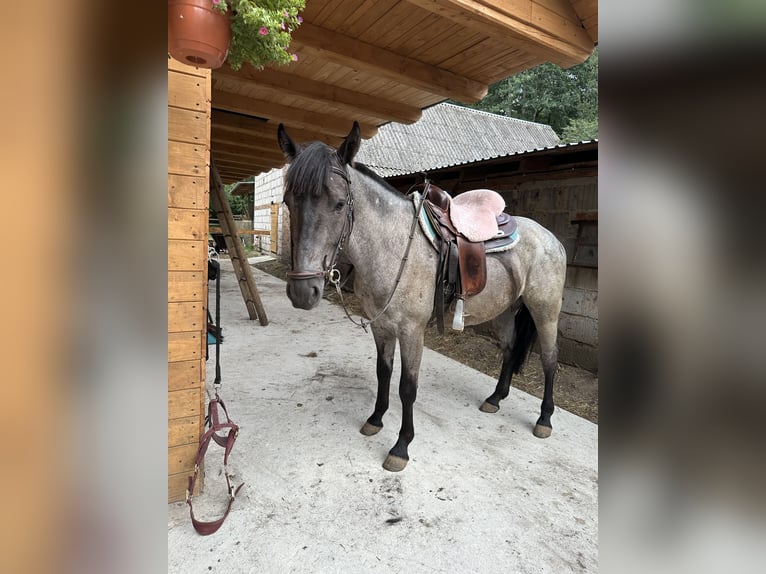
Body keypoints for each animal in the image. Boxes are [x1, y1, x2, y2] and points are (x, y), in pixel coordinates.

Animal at [280, 121, 568, 472]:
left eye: (338, 203)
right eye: (288, 202)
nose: (302, 292)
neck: (391, 247)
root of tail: (552, 238)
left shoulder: (411, 330)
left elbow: (408, 387)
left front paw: (401, 447)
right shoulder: (381, 326)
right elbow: (383, 372)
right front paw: (375, 419)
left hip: (545, 310)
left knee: (550, 358)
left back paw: (544, 419)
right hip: (504, 311)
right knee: (511, 349)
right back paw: (495, 399)